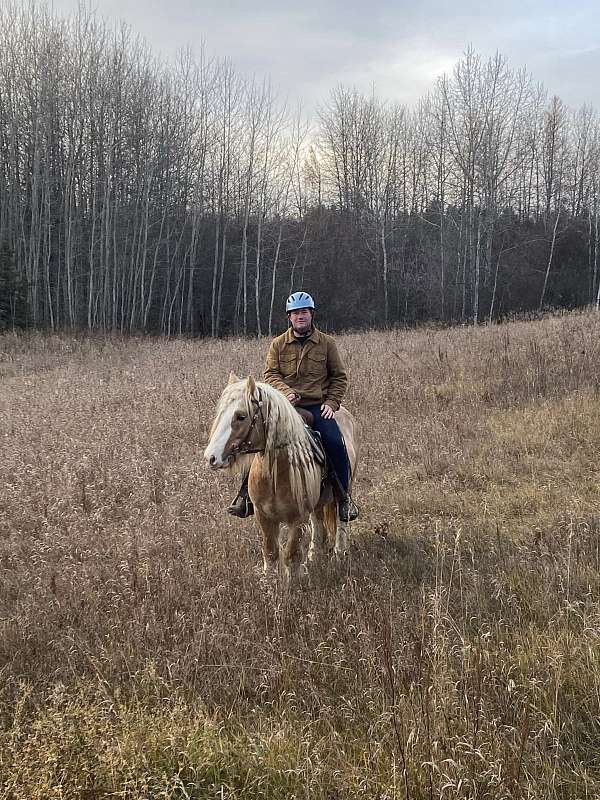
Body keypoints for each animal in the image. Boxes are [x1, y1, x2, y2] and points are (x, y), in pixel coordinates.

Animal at [204, 376, 358, 580]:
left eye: (241, 416)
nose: (210, 457)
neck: (276, 475)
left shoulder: (298, 518)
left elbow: (291, 554)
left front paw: (293, 584)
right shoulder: (263, 515)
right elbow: (270, 552)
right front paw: (269, 583)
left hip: (346, 489)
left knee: (341, 520)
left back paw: (338, 555)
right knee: (318, 525)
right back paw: (314, 556)